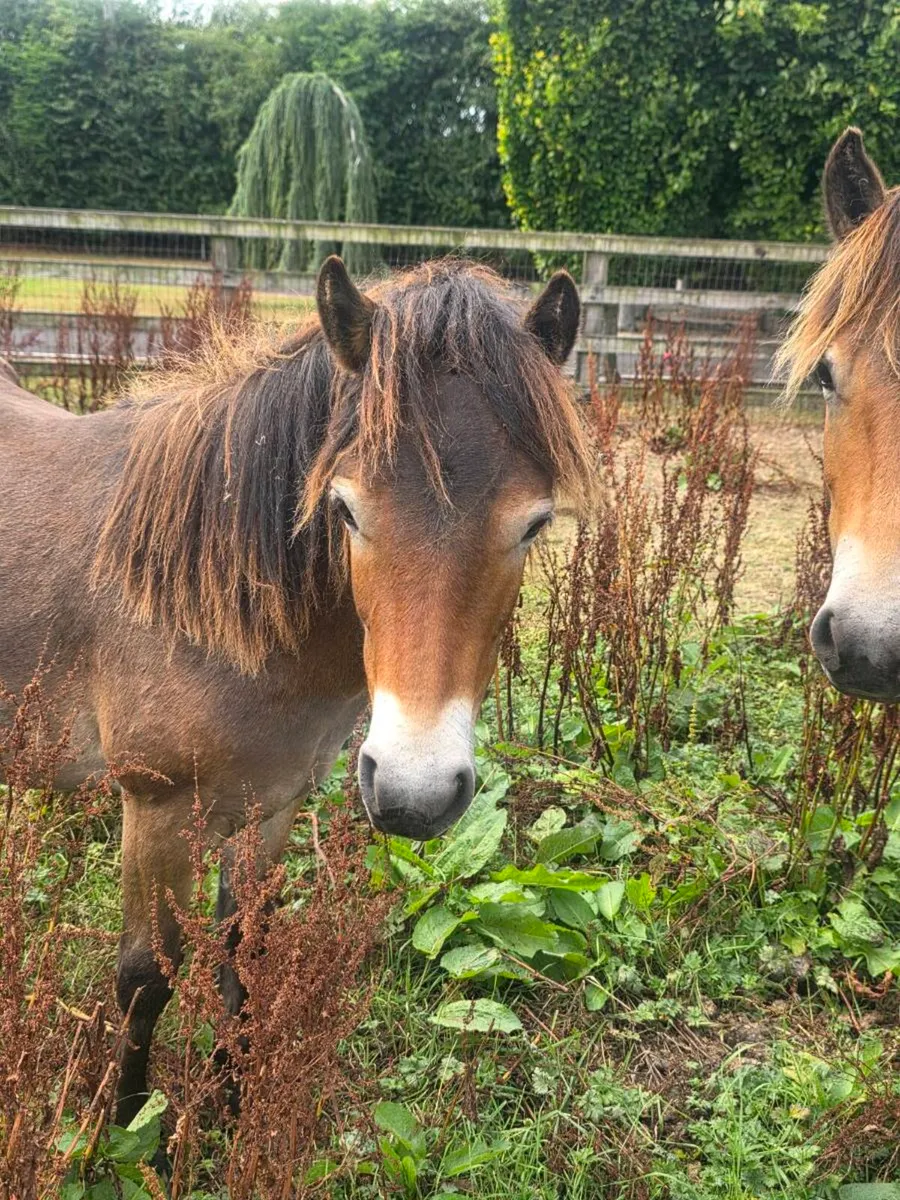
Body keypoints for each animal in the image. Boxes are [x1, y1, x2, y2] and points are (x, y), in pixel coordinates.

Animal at [0, 256, 594, 1124]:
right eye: (345, 510)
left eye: (535, 523)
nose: (415, 794)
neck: (219, 612)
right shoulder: (157, 806)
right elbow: (145, 978)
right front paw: (128, 1124)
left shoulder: (271, 804)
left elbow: (242, 949)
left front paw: (228, 1108)